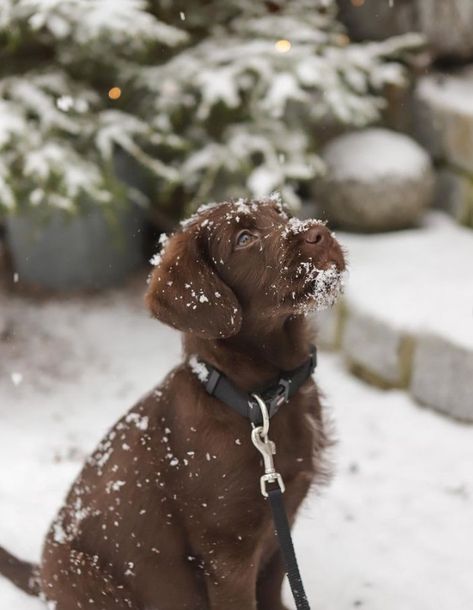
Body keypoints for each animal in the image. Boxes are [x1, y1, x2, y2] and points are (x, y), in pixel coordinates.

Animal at [1, 197, 344, 604]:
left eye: (281, 213)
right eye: (244, 238)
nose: (319, 232)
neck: (256, 399)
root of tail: (41, 575)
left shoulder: (280, 527)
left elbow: (275, 588)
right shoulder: (228, 554)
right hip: (93, 583)